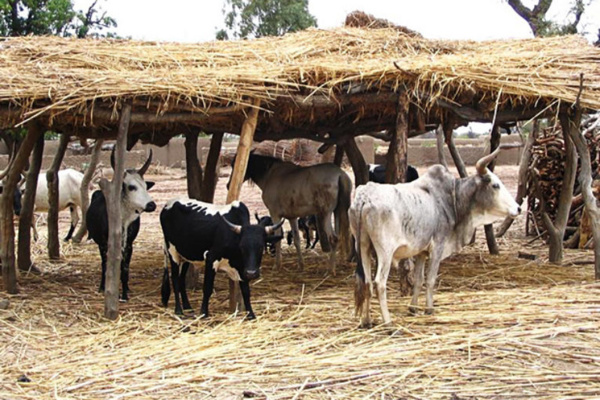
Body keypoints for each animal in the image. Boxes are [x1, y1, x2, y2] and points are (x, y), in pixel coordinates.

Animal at [87, 152, 158, 302]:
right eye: (131, 187)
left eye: (145, 186)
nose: (151, 205)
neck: (123, 219)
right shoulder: (106, 244)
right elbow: (110, 267)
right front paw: (113, 291)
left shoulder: (129, 244)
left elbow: (125, 269)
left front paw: (125, 294)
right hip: (101, 245)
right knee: (104, 265)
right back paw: (102, 286)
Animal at [350, 145, 524, 326]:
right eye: (495, 185)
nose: (518, 208)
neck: (452, 198)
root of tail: (364, 197)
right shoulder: (437, 247)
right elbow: (431, 280)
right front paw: (429, 309)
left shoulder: (421, 252)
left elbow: (418, 280)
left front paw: (413, 308)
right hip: (385, 252)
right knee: (379, 283)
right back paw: (388, 322)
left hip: (363, 247)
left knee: (366, 282)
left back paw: (366, 321)